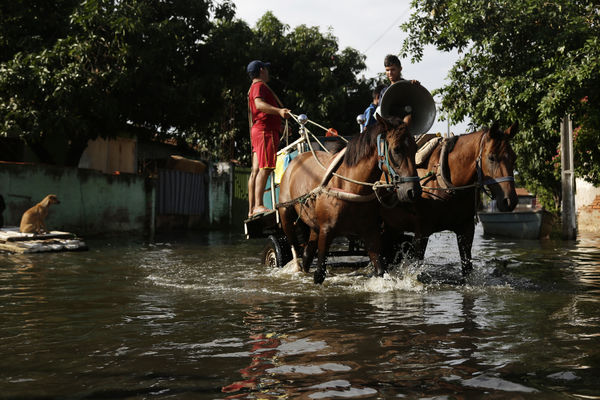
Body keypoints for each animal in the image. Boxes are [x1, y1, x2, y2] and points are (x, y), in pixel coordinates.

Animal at [278, 115, 420, 284]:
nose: (413, 191)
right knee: (294, 245)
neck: (349, 186)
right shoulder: (326, 231)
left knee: (307, 254)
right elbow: (319, 274)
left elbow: (380, 269)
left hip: (314, 225)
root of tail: (297, 159)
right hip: (285, 212)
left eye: (415, 148)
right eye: (396, 149)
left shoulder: (370, 231)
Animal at [382, 122, 516, 276]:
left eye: (514, 157)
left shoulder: (466, 231)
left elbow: (467, 268)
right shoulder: (421, 233)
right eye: (491, 157)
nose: (510, 200)